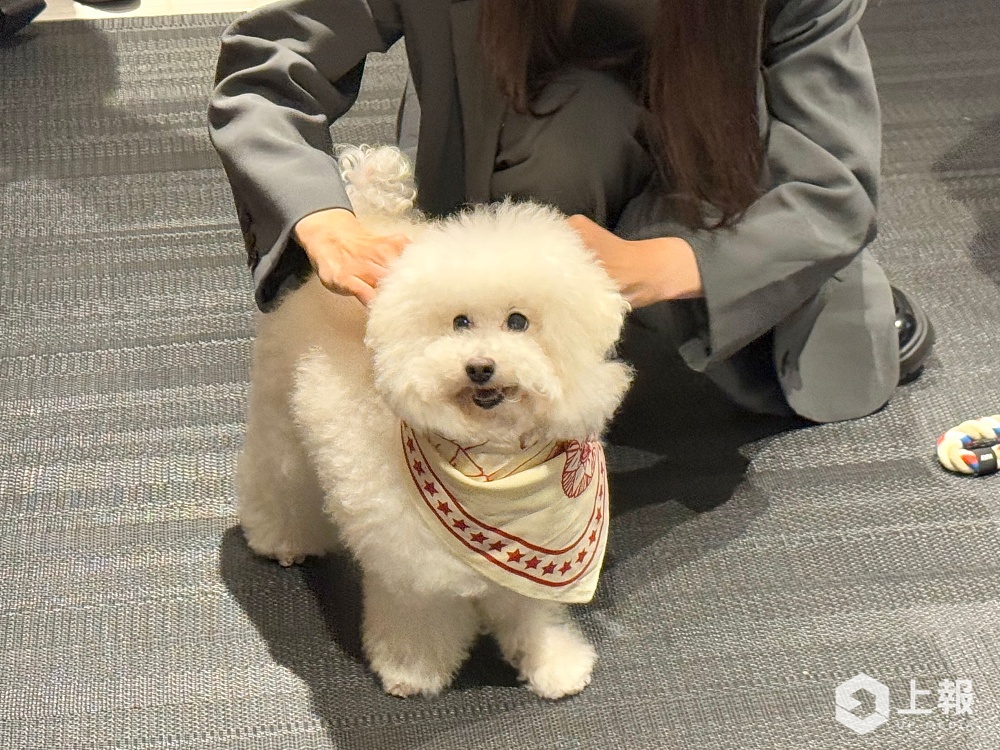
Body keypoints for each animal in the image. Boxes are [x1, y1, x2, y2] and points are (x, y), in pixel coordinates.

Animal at [240, 145, 632, 700]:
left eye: (518, 321)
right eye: (459, 322)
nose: (480, 367)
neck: (491, 458)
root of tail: (371, 218)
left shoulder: (532, 570)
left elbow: (532, 614)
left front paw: (553, 663)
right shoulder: (411, 569)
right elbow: (418, 623)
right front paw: (412, 672)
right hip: (281, 420)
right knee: (276, 479)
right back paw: (282, 539)